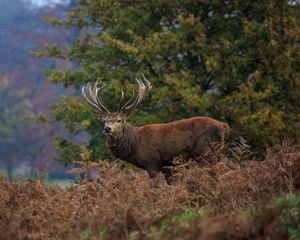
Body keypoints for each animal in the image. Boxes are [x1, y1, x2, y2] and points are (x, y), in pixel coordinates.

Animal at [82, 75, 230, 184]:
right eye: (105, 120)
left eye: (119, 120)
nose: (107, 128)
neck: (135, 144)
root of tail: (224, 126)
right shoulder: (167, 166)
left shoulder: (152, 162)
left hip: (207, 151)